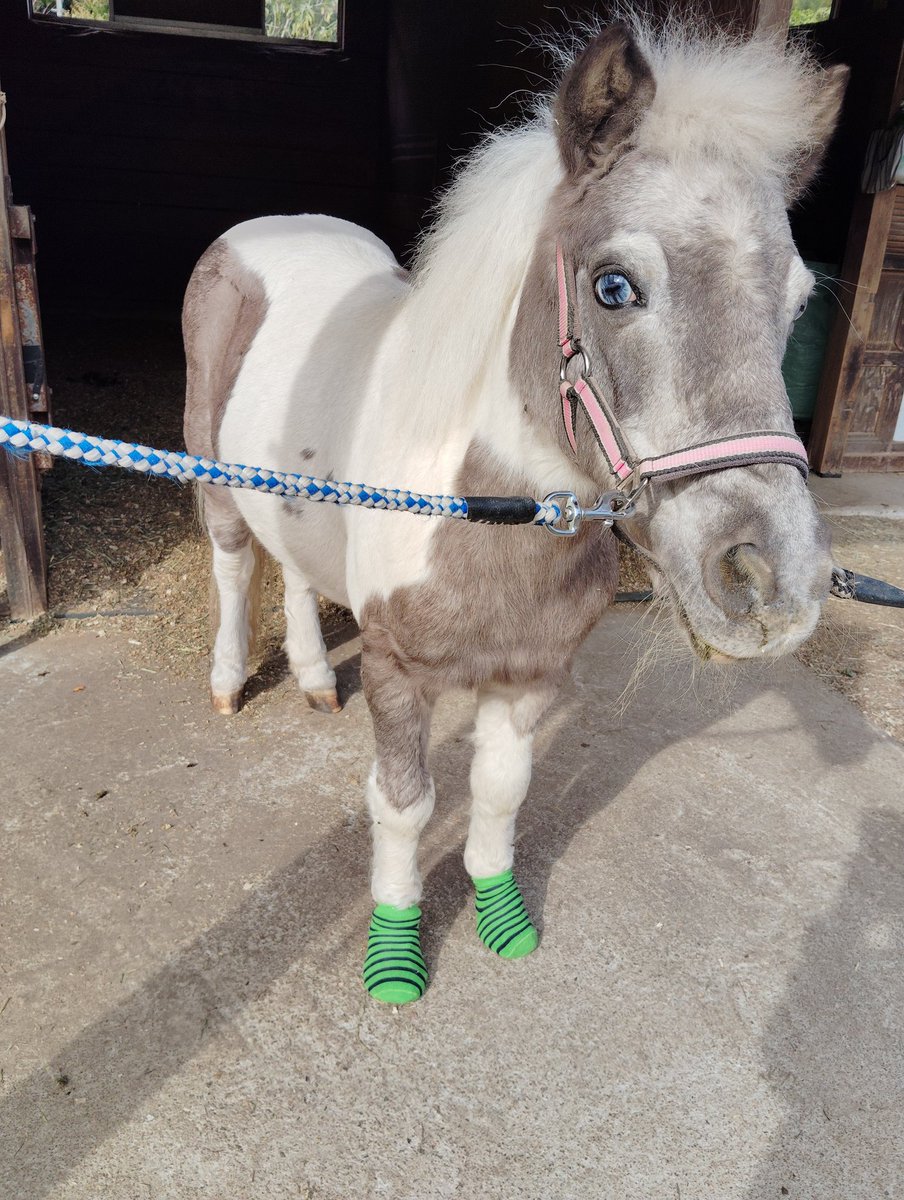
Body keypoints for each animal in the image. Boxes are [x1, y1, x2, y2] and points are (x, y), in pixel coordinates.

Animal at [182, 19, 848, 1005]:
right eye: (614, 286)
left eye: (800, 301)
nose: (772, 583)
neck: (483, 517)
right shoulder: (395, 670)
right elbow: (405, 803)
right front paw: (395, 956)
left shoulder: (531, 675)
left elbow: (500, 791)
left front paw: (501, 920)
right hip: (211, 476)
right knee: (234, 564)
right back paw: (231, 683)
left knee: (296, 569)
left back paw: (308, 679)